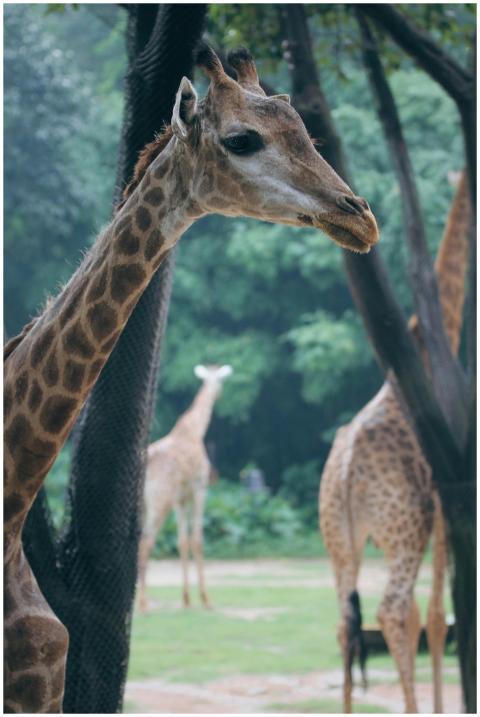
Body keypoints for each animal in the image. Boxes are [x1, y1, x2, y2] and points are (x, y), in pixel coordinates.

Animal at [137, 363, 232, 613]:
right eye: (220, 380)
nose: (219, 394)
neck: (195, 430)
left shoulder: (181, 499)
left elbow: (182, 541)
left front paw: (186, 599)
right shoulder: (199, 489)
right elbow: (197, 539)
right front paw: (206, 599)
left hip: (142, 505)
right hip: (160, 501)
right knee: (146, 542)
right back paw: (143, 603)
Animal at [319, 171, 470, 714]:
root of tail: (344, 476)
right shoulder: (447, 506)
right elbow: (436, 616)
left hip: (339, 540)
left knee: (346, 623)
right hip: (404, 531)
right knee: (392, 610)